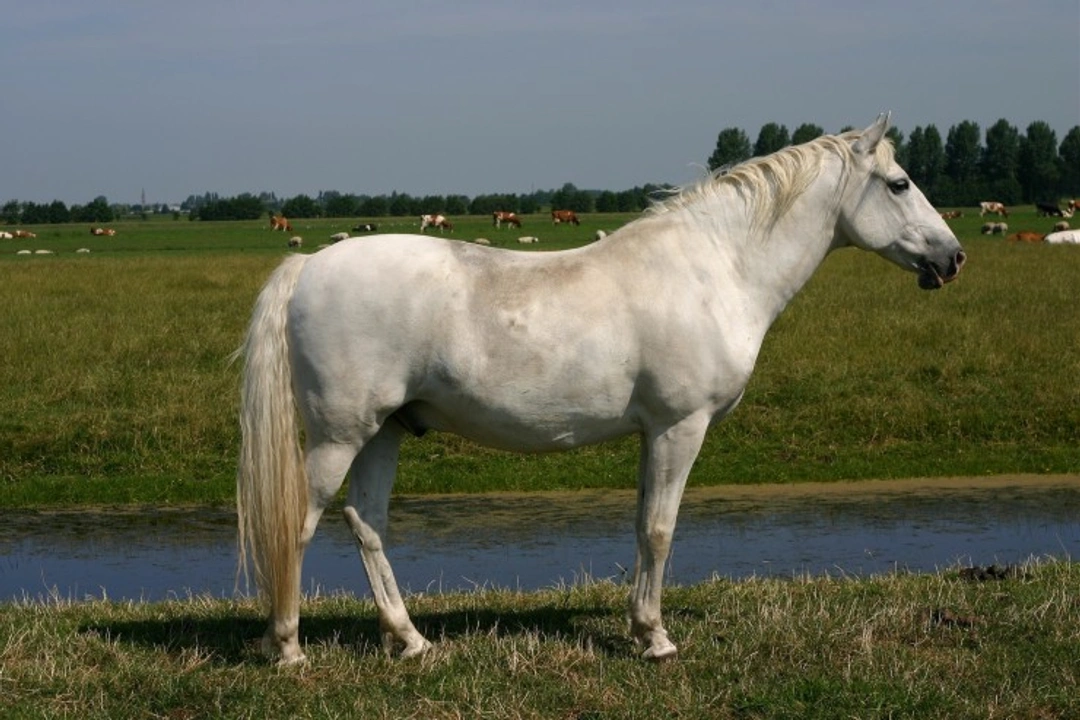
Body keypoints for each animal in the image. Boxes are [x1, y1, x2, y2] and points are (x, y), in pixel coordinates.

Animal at [235, 114, 964, 665]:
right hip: (340, 436)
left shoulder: (654, 433)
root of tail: (309, 265)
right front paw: (658, 641)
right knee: (298, 522)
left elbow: (643, 525)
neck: (713, 269)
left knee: (367, 524)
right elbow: (662, 530)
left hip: (384, 432)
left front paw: (641, 628)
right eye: (899, 183)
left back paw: (410, 640)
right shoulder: (679, 427)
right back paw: (289, 649)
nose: (952, 257)